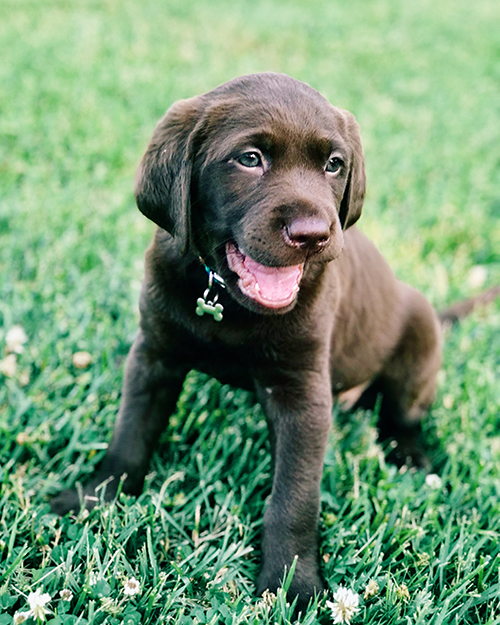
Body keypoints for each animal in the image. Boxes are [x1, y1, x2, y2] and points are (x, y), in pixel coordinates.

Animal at [51, 73, 442, 608]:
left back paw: (411, 455)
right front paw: (94, 498)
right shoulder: (153, 355)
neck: (227, 300)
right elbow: (130, 433)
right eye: (250, 158)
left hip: (422, 333)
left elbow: (293, 496)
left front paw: (292, 581)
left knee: (405, 413)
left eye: (334, 164)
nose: (313, 234)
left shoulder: (302, 394)